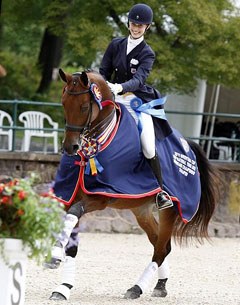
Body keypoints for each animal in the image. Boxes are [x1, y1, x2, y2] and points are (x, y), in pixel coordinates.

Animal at [45, 68, 219, 300]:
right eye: (63, 103)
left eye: (83, 107)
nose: (70, 147)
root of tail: (188, 147)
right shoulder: (71, 195)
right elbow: (71, 241)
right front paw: (63, 286)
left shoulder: (100, 197)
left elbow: (73, 215)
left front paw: (55, 255)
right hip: (141, 210)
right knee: (160, 244)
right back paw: (160, 285)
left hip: (171, 210)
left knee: (161, 250)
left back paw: (137, 287)